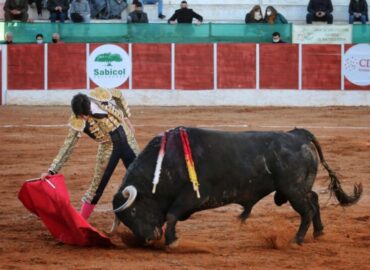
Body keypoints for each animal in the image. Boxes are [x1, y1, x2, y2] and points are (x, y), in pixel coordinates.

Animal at [112, 127, 362, 248]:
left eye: (133, 211)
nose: (148, 239)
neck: (165, 162)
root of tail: (298, 134)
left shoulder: (192, 196)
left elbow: (172, 215)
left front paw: (172, 242)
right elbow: (171, 216)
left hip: (293, 190)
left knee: (307, 210)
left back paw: (297, 240)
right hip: (298, 188)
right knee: (314, 200)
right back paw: (319, 233)